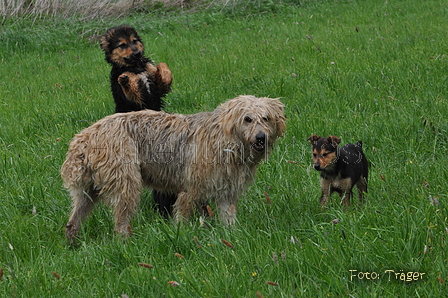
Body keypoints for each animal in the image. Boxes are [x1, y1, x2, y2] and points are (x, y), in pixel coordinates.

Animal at [61, 94, 286, 243]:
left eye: (266, 118)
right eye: (247, 119)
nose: (261, 138)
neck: (225, 139)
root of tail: (84, 138)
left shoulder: (226, 193)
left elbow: (228, 221)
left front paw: (232, 238)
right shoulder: (191, 190)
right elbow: (182, 218)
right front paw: (182, 234)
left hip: (87, 193)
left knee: (73, 222)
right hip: (127, 185)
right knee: (121, 222)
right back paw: (125, 243)